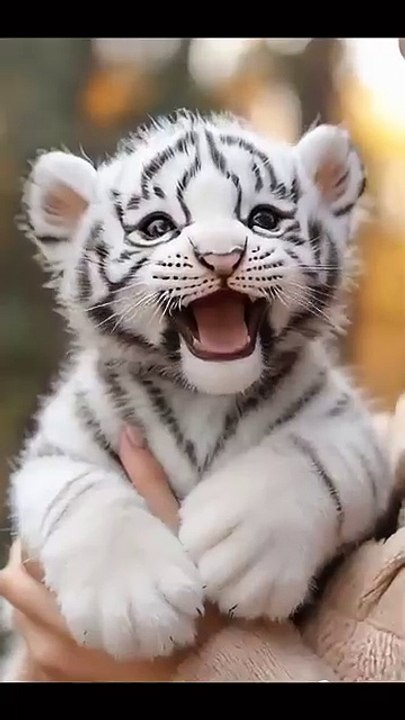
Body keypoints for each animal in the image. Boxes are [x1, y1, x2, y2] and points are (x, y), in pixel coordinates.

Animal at [3, 109, 394, 662]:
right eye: (158, 227)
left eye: (263, 219)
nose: (222, 254)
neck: (205, 397)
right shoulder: (60, 446)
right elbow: (84, 495)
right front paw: (132, 604)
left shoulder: (348, 428)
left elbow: (307, 459)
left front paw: (246, 549)